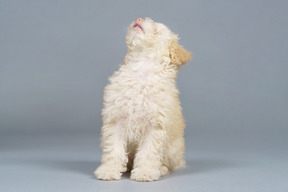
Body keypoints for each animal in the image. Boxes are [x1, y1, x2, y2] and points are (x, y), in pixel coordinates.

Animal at [94, 17, 192, 182]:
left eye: (156, 29)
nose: (138, 18)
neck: (141, 69)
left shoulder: (155, 126)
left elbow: (148, 152)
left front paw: (145, 172)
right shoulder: (116, 119)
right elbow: (114, 149)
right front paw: (109, 170)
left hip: (174, 149)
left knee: (168, 164)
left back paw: (161, 169)